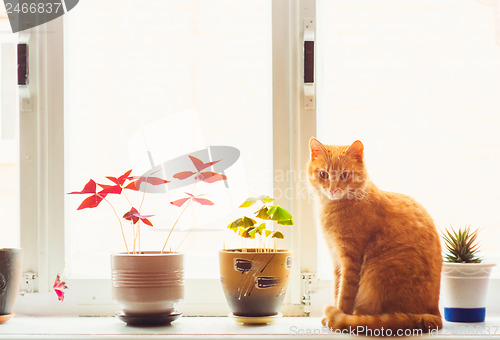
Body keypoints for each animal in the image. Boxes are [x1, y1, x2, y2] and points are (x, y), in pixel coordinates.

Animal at [308, 137, 442, 332]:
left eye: (344, 175)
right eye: (324, 174)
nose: (333, 189)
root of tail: (436, 313)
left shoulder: (351, 259)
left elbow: (345, 293)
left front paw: (338, 315)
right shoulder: (336, 259)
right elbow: (336, 288)